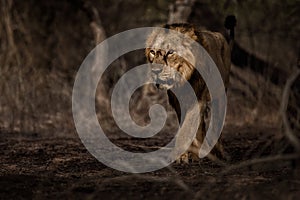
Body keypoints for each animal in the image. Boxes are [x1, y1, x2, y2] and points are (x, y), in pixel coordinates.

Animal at [145, 16, 237, 163]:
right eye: (153, 52)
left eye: (171, 52)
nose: (155, 71)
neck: (183, 80)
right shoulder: (178, 102)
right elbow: (188, 127)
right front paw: (185, 155)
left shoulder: (198, 98)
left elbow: (187, 128)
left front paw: (180, 156)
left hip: (221, 95)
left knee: (217, 123)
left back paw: (220, 153)